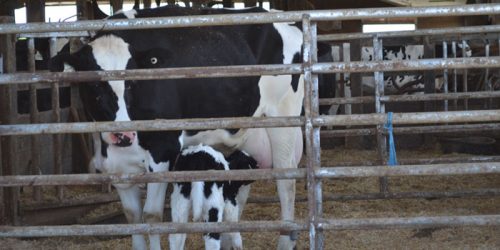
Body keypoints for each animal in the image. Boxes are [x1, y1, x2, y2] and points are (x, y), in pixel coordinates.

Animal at [51, 5, 320, 250]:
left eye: (132, 82)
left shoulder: (163, 151)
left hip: (283, 122)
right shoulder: (117, 167)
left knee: (286, 185)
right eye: (93, 84)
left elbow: (152, 216)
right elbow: (133, 217)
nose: (123, 134)